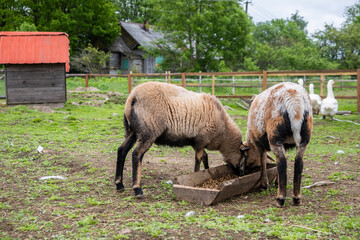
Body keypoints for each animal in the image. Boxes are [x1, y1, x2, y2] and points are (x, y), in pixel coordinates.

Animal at [114, 81, 249, 198]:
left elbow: (205, 157)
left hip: (132, 131)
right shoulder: (201, 140)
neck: (224, 133)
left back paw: (119, 184)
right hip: (148, 132)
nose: (242, 174)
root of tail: (133, 96)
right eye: (244, 156)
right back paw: (137, 189)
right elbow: (198, 160)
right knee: (136, 154)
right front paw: (196, 176)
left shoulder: (196, 142)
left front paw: (208, 171)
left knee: (122, 150)